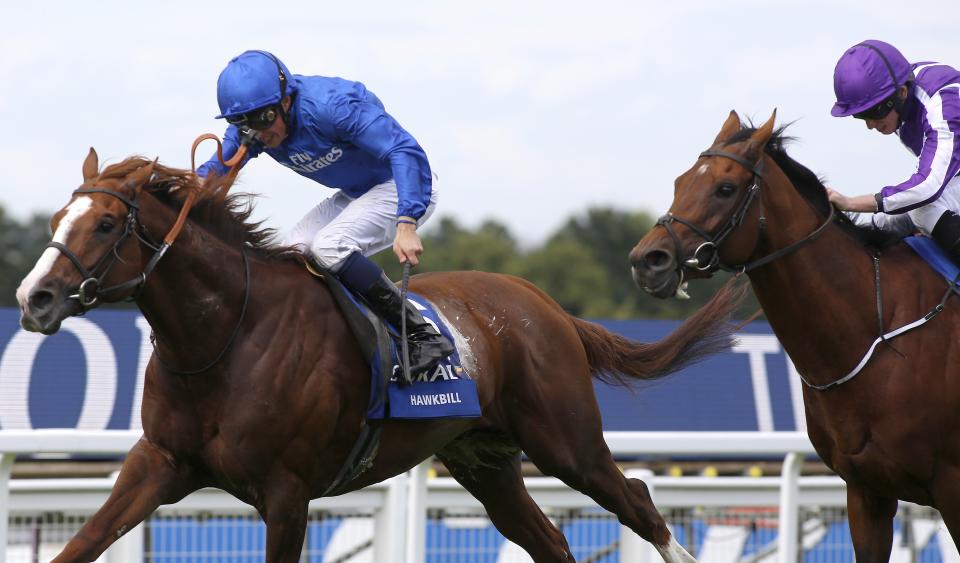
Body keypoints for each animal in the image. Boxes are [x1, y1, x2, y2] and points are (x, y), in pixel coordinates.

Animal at [16, 150, 744, 563]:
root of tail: (546, 304)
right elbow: (81, 543)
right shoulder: (159, 462)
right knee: (551, 541)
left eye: (105, 224)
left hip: (568, 441)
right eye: (56, 219)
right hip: (487, 462)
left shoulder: (287, 492)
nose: (34, 297)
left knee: (638, 502)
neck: (224, 339)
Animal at [632, 109, 960, 560]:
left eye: (725, 188)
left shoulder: (952, 486)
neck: (878, 329)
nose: (647, 260)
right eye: (680, 182)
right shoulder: (866, 492)